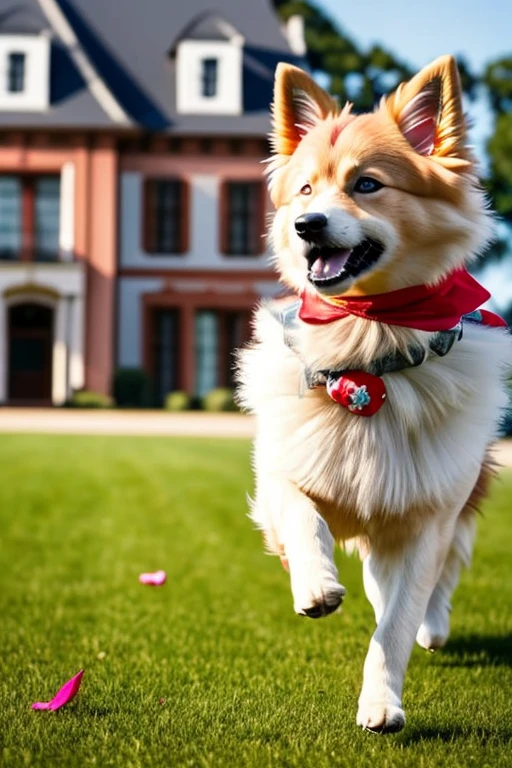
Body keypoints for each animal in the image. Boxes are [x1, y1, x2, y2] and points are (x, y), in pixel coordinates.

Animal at [237, 55, 512, 732]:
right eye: (305, 191)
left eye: (367, 185)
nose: (306, 226)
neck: (369, 340)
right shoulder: (281, 472)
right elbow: (300, 513)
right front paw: (314, 585)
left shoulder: (425, 520)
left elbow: (394, 626)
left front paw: (382, 704)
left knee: (435, 586)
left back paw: (434, 628)